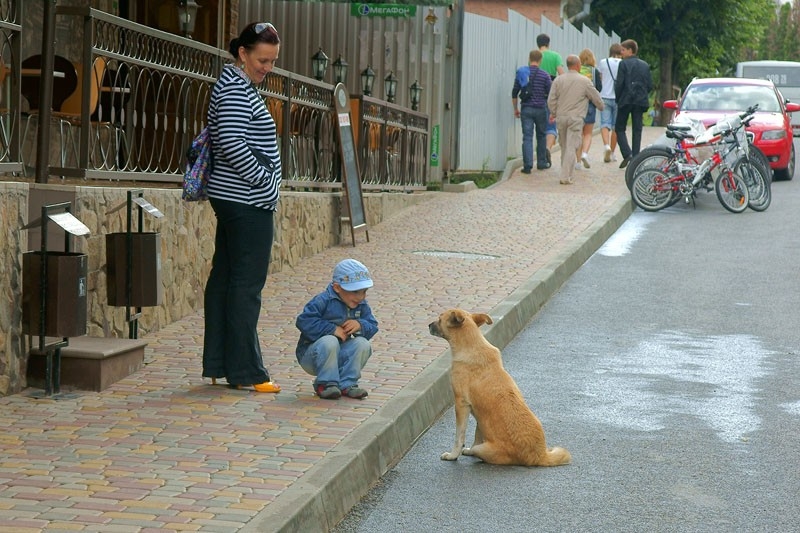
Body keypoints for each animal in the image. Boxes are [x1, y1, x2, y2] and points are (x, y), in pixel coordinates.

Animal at [432, 308, 568, 466]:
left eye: (440, 319)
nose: (428, 325)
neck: (472, 345)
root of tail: (540, 456)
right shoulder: (479, 414)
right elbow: (478, 432)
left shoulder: (461, 404)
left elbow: (459, 437)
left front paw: (453, 455)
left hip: (484, 450)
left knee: (477, 450)